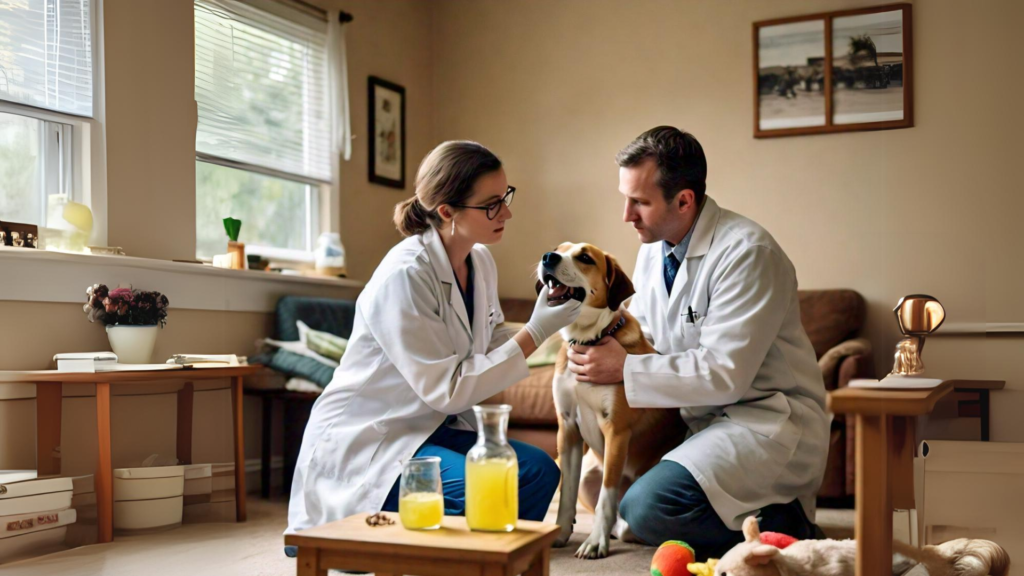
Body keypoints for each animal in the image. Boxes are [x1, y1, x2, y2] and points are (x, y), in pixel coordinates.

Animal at [536, 240, 688, 557]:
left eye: (584, 258)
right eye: (560, 248)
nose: (548, 257)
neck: (587, 341)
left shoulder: (616, 432)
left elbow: (606, 498)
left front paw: (596, 542)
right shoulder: (567, 429)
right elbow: (566, 492)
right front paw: (560, 534)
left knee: (625, 519)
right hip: (586, 475)